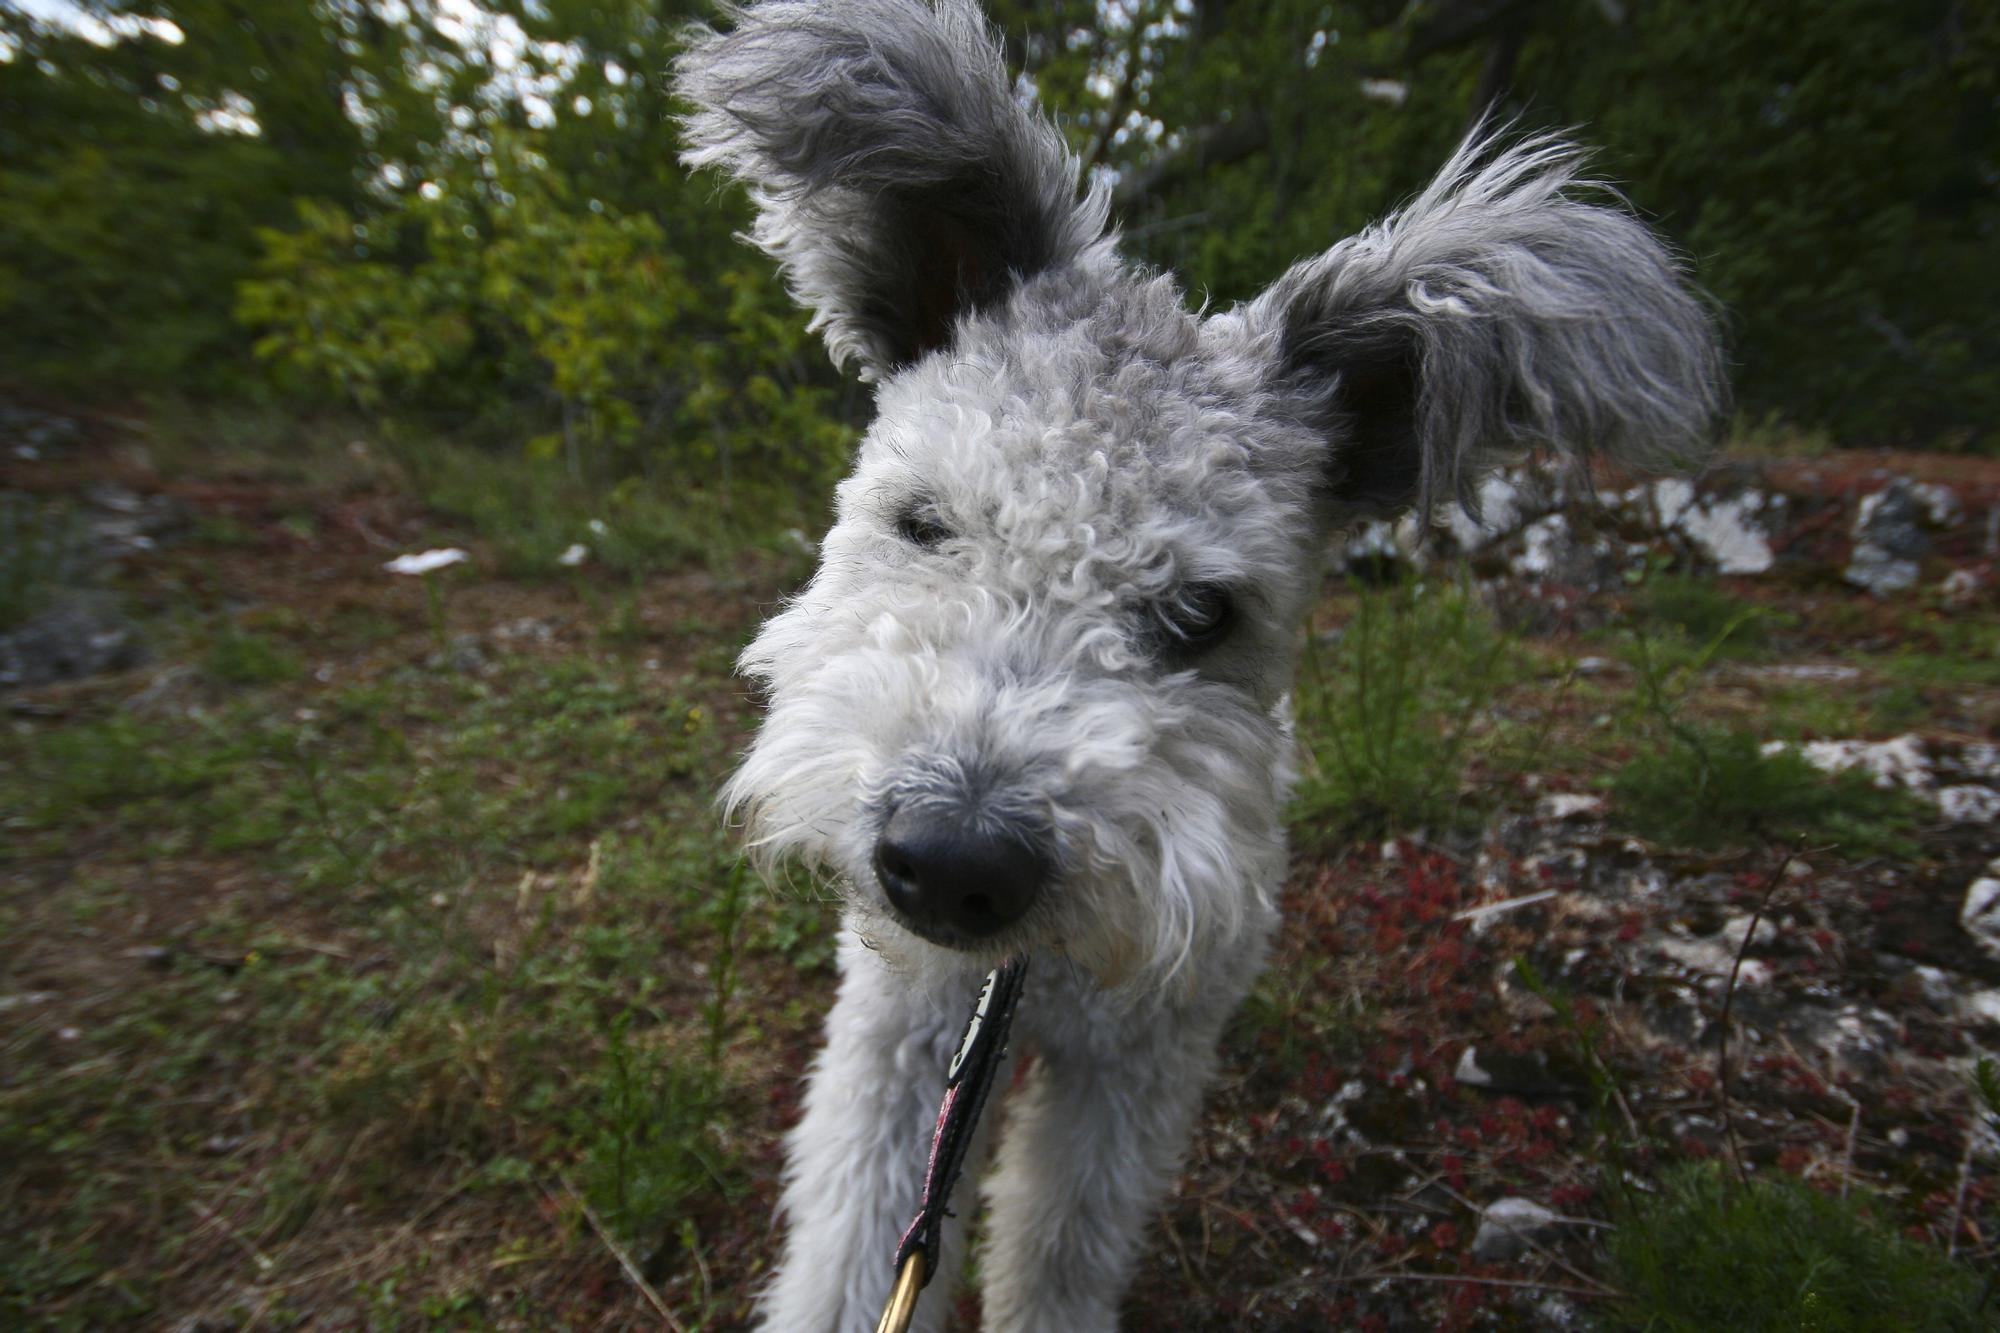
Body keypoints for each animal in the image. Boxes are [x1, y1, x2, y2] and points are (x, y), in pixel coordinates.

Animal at [676, 5, 1720, 1320]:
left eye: (1200, 611)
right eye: (923, 522)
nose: (955, 863)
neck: (1022, 983)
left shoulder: (1133, 1071)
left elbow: (1059, 1244)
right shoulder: (901, 1034)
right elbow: (857, 1240)